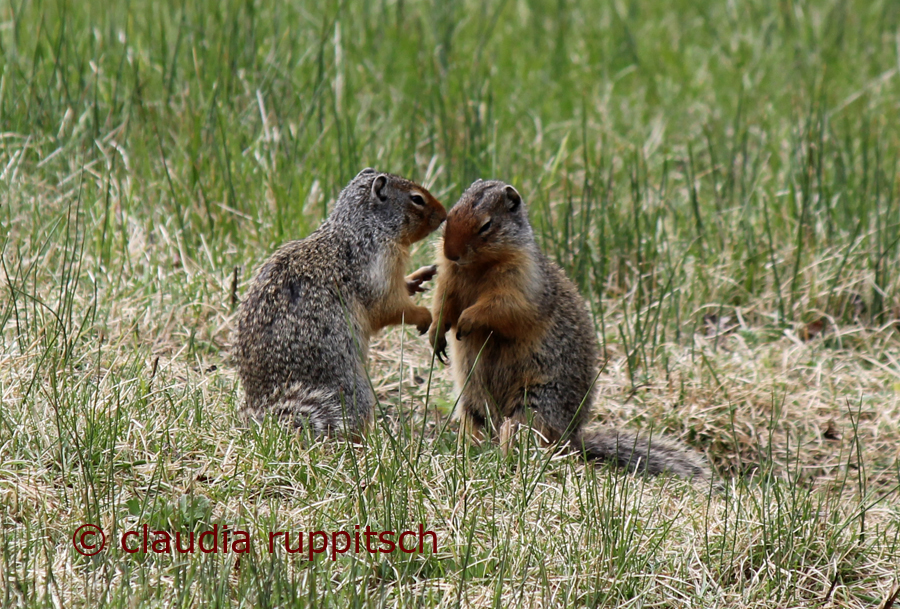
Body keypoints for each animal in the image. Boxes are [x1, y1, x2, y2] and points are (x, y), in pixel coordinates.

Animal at [236, 169, 446, 436]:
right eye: (417, 199)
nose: (445, 214)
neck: (365, 228)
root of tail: (266, 407)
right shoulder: (378, 270)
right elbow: (389, 307)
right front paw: (423, 315)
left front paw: (417, 279)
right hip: (354, 391)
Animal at [428, 178, 712, 478]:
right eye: (450, 215)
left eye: (486, 225)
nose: (451, 253)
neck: (478, 267)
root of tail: (572, 441)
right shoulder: (448, 277)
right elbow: (443, 302)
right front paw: (436, 334)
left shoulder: (522, 279)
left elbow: (503, 307)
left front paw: (467, 319)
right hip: (471, 403)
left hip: (534, 402)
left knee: (527, 436)